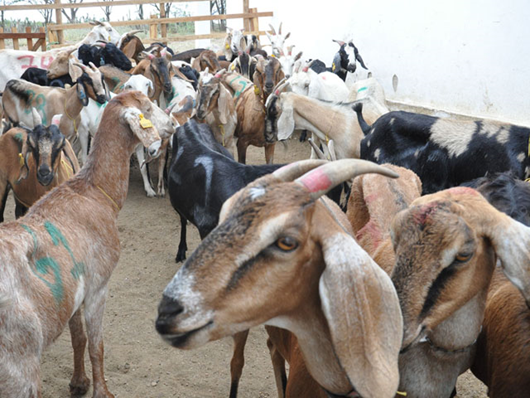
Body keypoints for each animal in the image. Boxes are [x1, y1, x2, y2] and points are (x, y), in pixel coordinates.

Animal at [0, 90, 163, 398]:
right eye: (148, 108)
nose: (174, 123)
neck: (94, 192)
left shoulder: (76, 287)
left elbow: (78, 338)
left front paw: (79, 383)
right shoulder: (99, 285)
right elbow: (97, 345)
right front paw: (103, 391)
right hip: (20, 367)